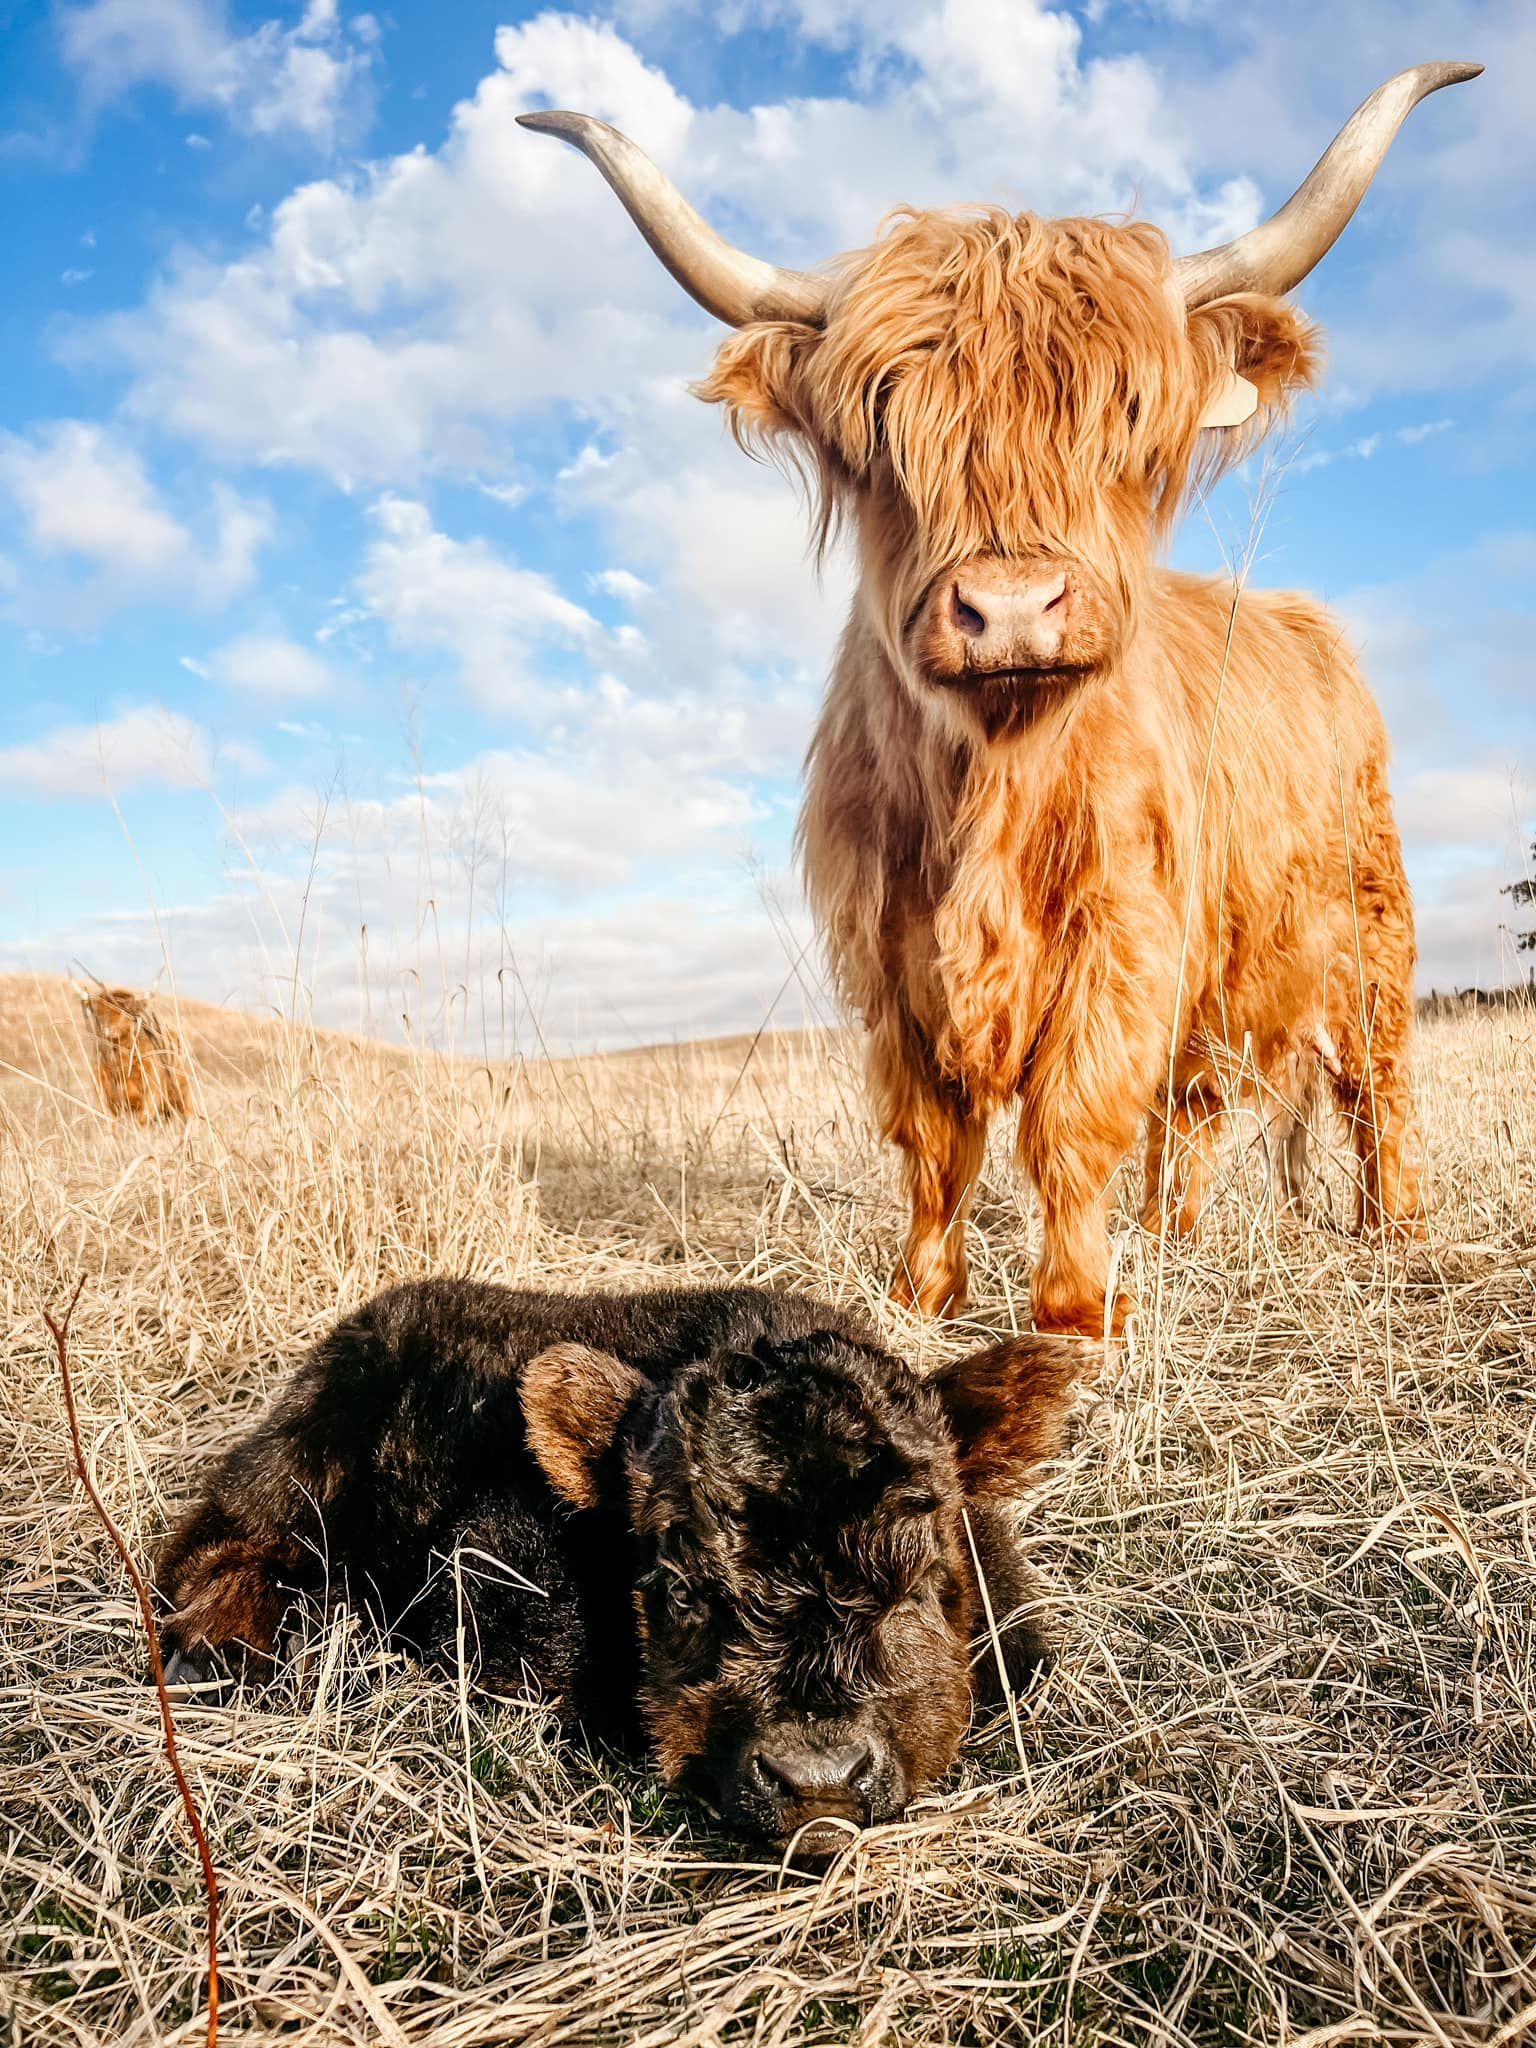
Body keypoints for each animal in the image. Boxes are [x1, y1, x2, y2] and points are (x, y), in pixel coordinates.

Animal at [156, 1280, 1087, 1854]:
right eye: (680, 1590)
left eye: (920, 1584)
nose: (816, 1778)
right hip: (294, 1458)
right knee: (214, 1543)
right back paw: (213, 1649)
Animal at [519, 61, 1479, 1337]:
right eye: (881, 427)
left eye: (1128, 422)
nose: (1013, 608)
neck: (991, 777)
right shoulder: (889, 952)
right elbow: (933, 1139)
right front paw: (920, 1293)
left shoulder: (1122, 931)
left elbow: (1072, 1122)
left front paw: (1074, 1311)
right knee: (1200, 1106)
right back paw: (1174, 1235)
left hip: (1372, 925)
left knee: (1376, 1084)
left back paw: (1393, 1232)